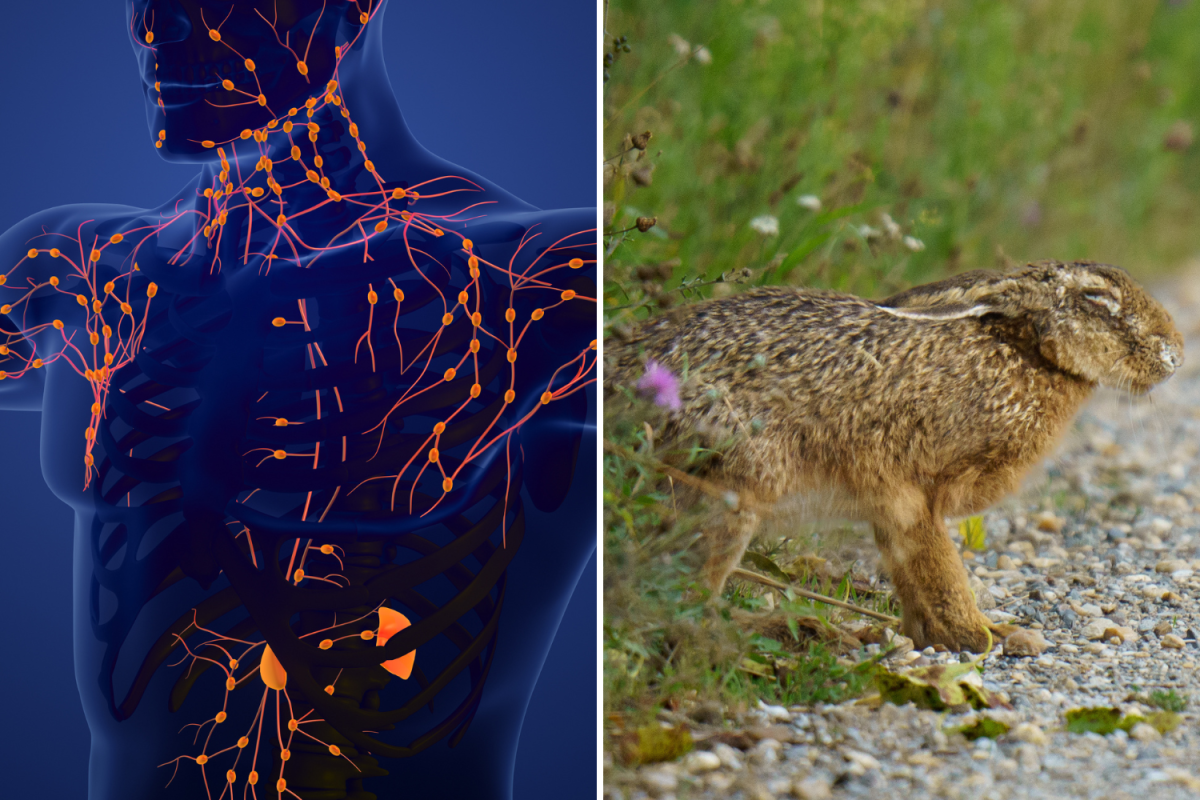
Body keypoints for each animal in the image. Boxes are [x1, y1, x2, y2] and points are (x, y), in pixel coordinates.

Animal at [606, 261, 1183, 652]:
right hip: (732, 489)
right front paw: (983, 637)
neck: (1022, 353)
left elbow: (913, 575)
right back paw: (803, 632)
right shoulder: (910, 493)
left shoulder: (892, 507)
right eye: (1095, 297)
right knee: (681, 601)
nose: (1175, 353)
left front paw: (935, 635)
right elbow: (940, 569)